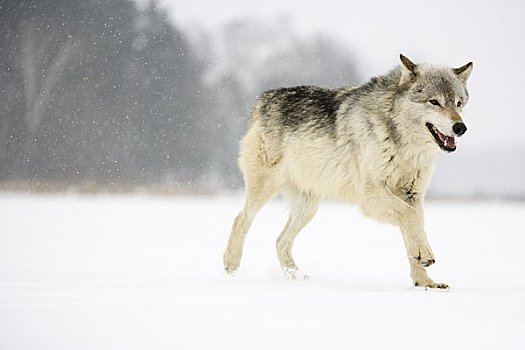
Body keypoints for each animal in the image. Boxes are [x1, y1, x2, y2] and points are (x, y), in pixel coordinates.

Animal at [221, 54, 470, 288]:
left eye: (459, 103)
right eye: (434, 102)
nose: (460, 127)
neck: (406, 147)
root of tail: (263, 98)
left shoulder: (413, 196)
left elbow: (414, 227)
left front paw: (425, 281)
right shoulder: (371, 194)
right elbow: (410, 217)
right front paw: (425, 256)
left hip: (308, 206)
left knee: (280, 240)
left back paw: (297, 277)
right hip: (266, 189)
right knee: (240, 219)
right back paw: (231, 265)